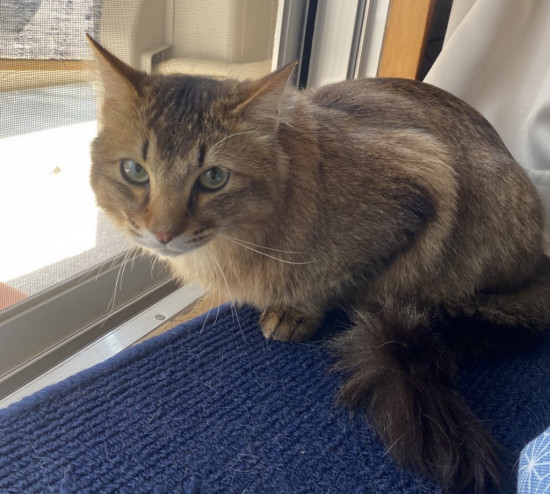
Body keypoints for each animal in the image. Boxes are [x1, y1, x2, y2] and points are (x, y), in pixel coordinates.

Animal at [87, 35, 550, 493]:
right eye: (134, 171)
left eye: (214, 178)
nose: (162, 233)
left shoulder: (424, 176)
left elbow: (330, 281)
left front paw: (295, 311)